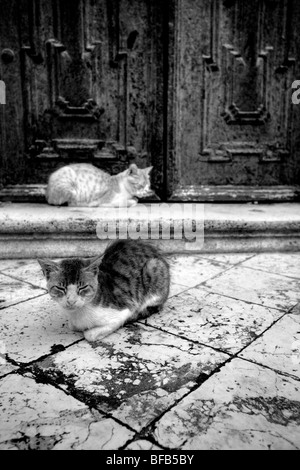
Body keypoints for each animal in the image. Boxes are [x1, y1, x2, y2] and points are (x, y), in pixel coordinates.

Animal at [38, 239, 169, 342]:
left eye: (82, 287)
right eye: (60, 288)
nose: (71, 301)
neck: (78, 313)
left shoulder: (124, 309)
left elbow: (94, 333)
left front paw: (92, 332)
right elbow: (73, 325)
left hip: (153, 268)